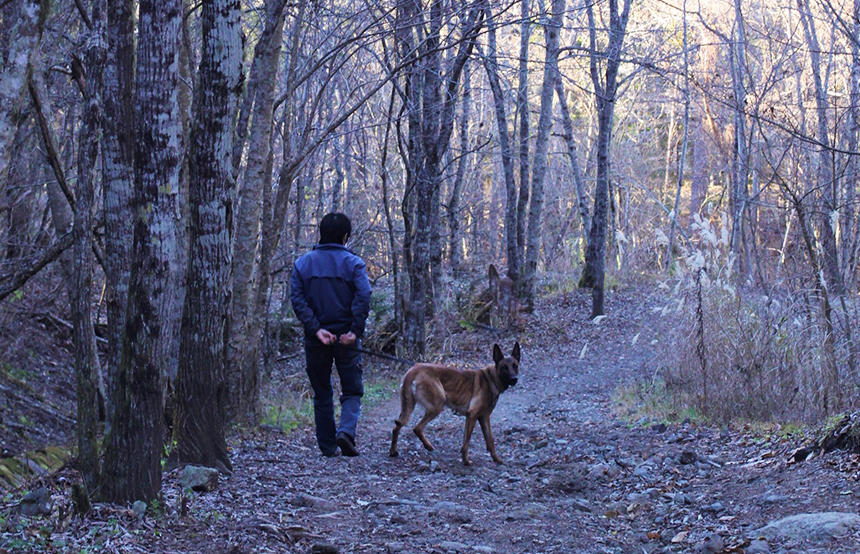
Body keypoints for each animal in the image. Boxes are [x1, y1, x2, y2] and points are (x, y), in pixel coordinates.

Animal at [388, 340, 520, 462]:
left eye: (515, 365)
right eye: (504, 367)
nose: (514, 379)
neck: (491, 378)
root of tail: (414, 369)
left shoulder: (483, 417)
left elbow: (489, 440)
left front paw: (497, 459)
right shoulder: (472, 415)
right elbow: (467, 441)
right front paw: (466, 461)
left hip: (409, 407)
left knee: (397, 426)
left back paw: (393, 451)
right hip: (437, 405)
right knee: (417, 428)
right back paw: (428, 446)